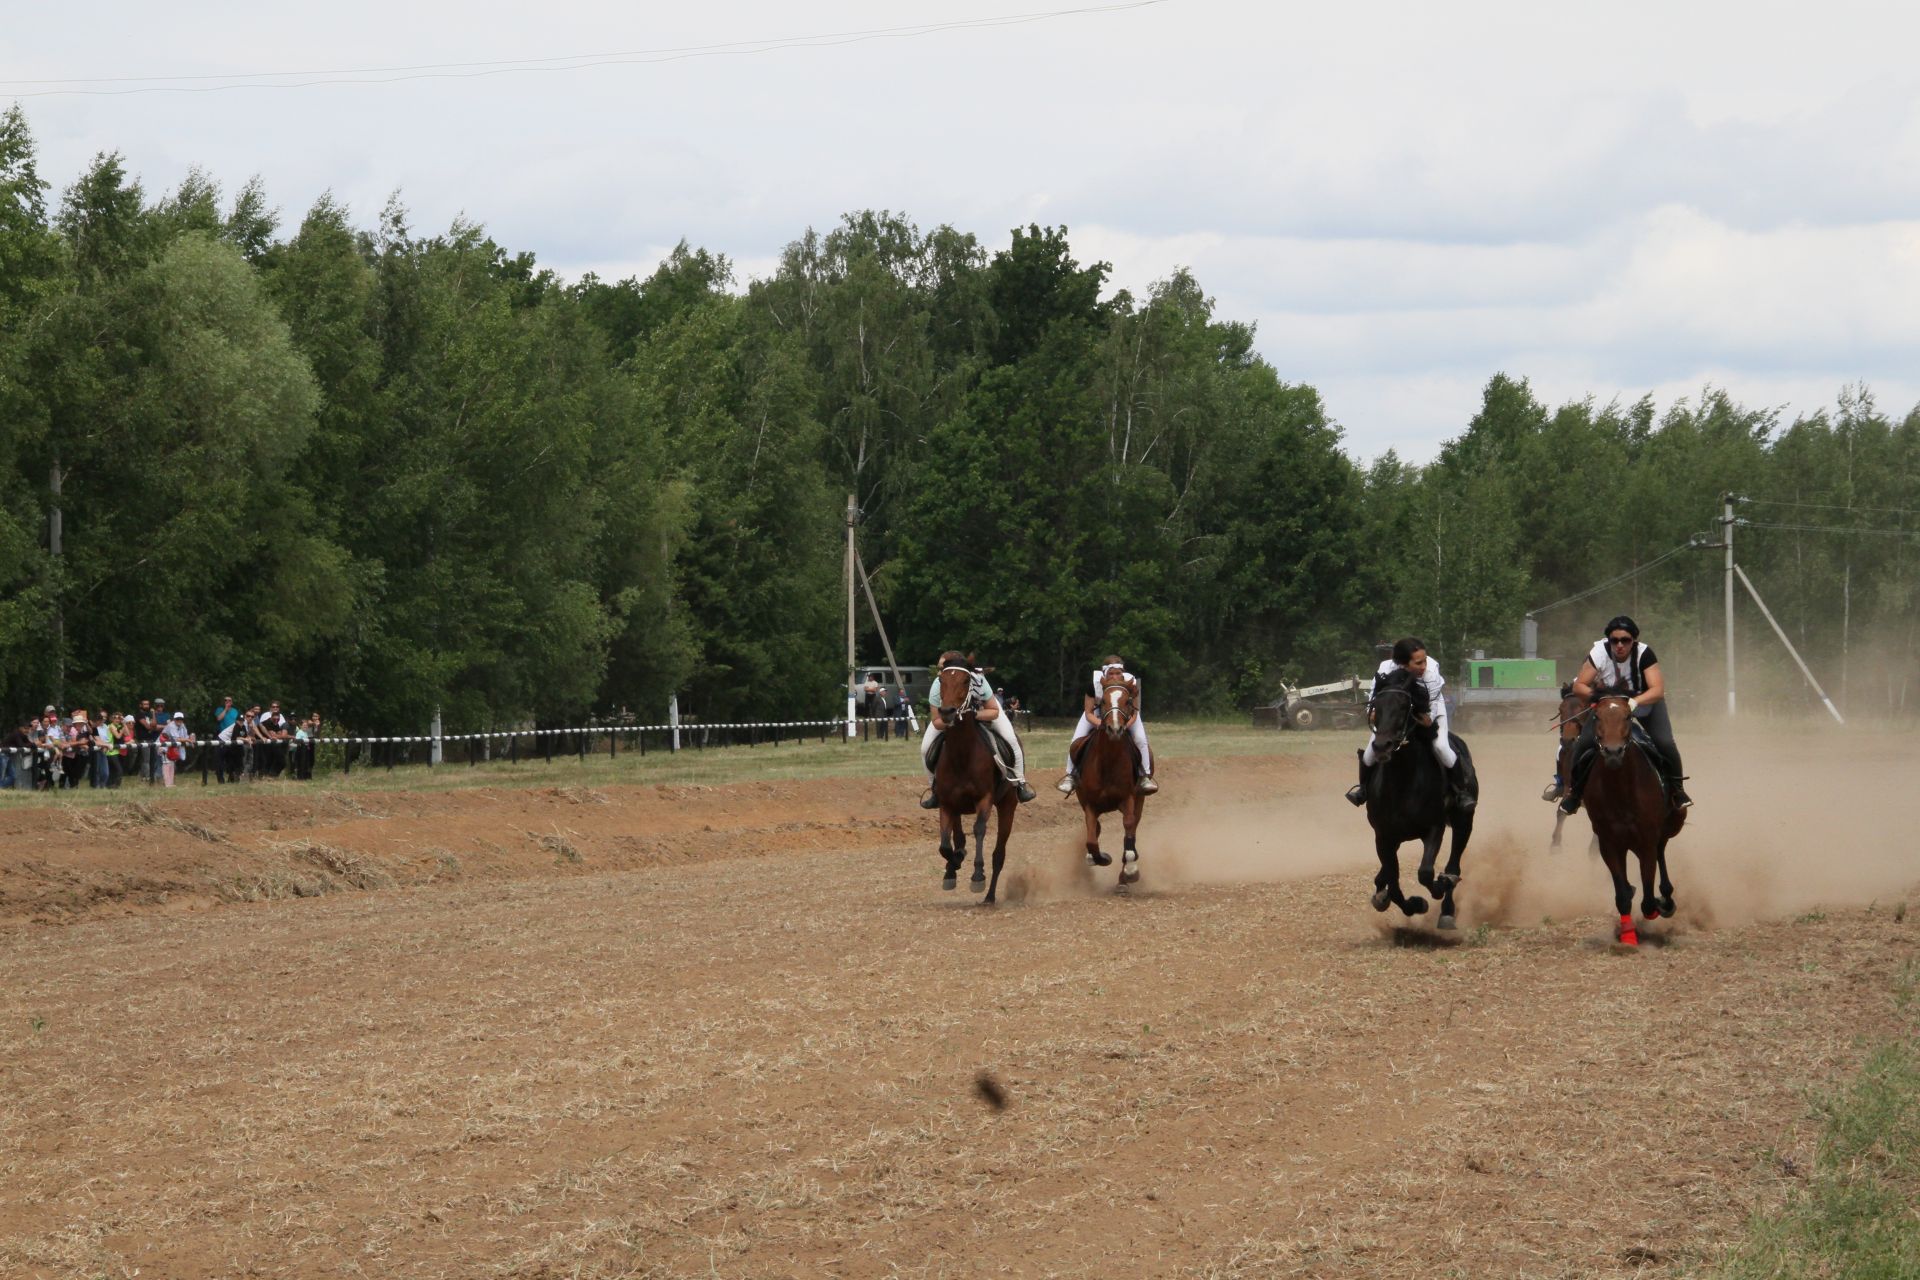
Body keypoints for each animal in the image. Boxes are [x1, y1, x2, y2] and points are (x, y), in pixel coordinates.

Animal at [929, 667, 1021, 905]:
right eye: (941, 680)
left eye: (965, 680)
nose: (947, 711)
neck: (962, 754)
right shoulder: (947, 802)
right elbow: (945, 843)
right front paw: (953, 865)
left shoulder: (984, 799)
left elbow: (979, 830)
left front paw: (978, 875)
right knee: (958, 836)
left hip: (1008, 805)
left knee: (999, 854)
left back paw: (989, 896)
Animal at [1075, 667, 1144, 886]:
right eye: (1103, 701)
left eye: (1128, 701)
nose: (1115, 729)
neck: (1108, 761)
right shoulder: (1089, 803)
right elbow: (1091, 837)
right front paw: (1100, 857)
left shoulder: (1128, 797)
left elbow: (1129, 829)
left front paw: (1130, 869)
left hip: (1140, 800)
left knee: (1132, 829)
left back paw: (1124, 877)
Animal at [1359, 671, 1474, 932]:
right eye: (1376, 706)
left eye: (1404, 706)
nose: (1381, 746)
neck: (1403, 780)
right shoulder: (1383, 836)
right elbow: (1393, 880)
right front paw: (1413, 904)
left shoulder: (1434, 828)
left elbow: (1425, 872)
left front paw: (1438, 888)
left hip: (1464, 822)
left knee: (1454, 865)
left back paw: (1447, 911)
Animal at [1574, 690, 1681, 951]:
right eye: (1597, 716)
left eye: (1628, 715)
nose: (1613, 752)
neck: (1621, 789)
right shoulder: (1609, 844)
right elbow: (1622, 895)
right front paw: (1628, 937)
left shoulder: (1646, 841)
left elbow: (1648, 900)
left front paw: (1658, 905)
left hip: (1669, 825)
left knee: (1661, 850)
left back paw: (1667, 898)